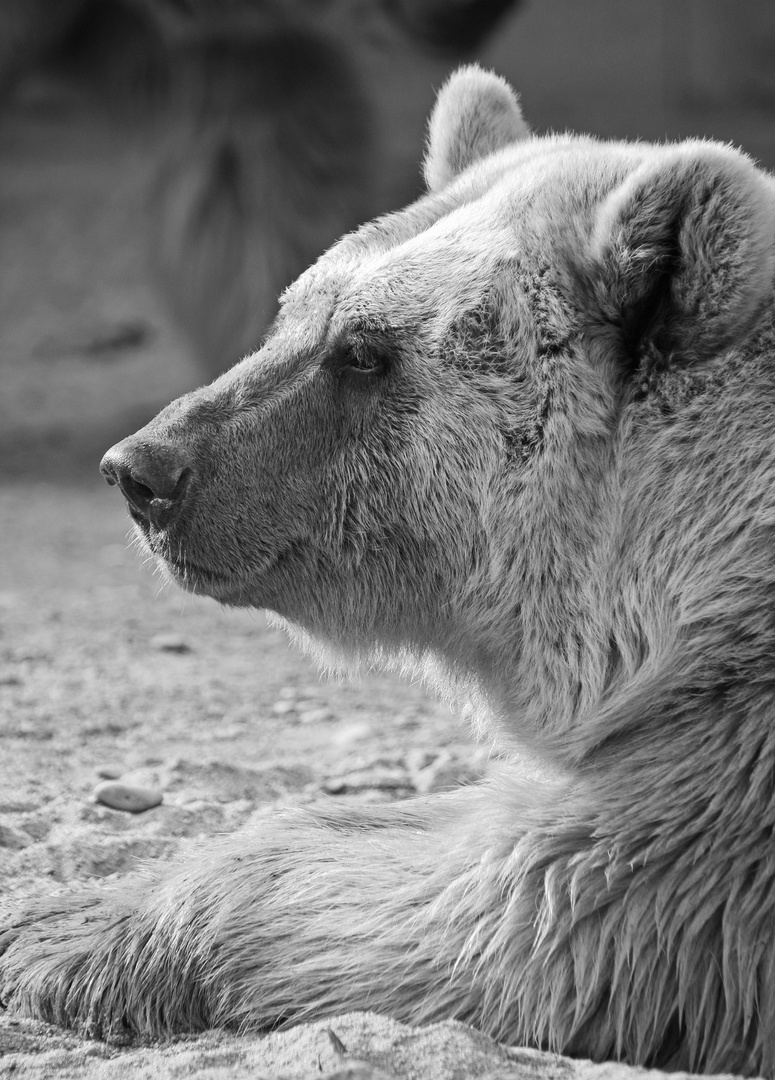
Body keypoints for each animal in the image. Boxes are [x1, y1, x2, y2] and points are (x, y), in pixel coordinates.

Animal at [1, 65, 775, 1071]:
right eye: (293, 311)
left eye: (364, 351)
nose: (142, 470)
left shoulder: (716, 792)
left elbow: (508, 907)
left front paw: (60, 935)